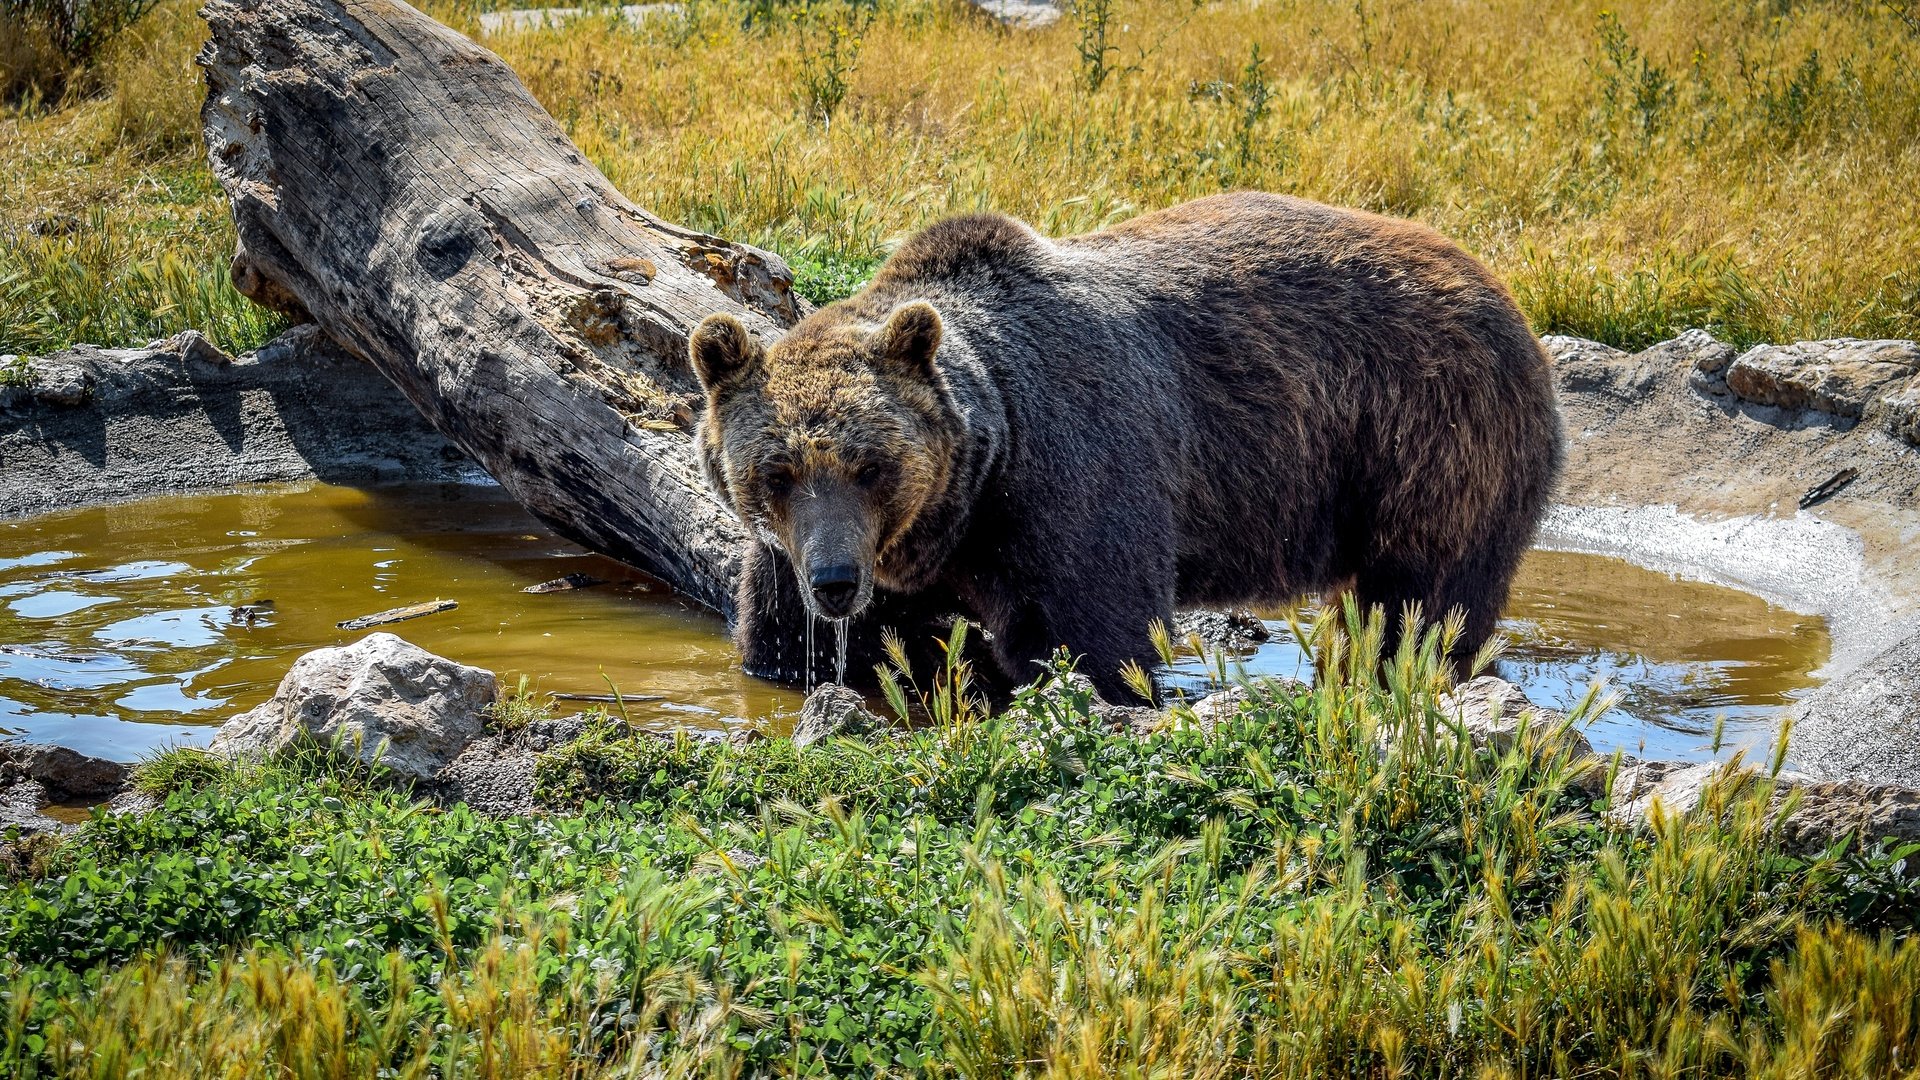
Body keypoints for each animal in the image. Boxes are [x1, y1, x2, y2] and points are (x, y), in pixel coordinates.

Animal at [691, 193, 1559, 699]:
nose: (837, 581)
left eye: (873, 465)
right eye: (776, 471)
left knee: (1424, 597)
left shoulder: (1076, 472)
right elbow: (782, 636)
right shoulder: (818, 545)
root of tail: (1503, 295)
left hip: (1430, 436)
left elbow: (1091, 631)